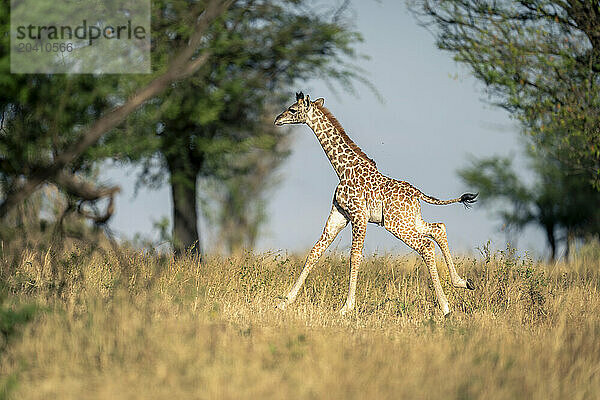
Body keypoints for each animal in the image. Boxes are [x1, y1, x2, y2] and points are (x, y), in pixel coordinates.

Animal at [274, 91, 476, 316]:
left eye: (292, 109)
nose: (277, 119)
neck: (342, 168)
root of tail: (416, 193)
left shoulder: (358, 216)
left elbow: (355, 256)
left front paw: (346, 307)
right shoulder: (339, 215)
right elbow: (315, 252)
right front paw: (285, 302)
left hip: (397, 224)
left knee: (426, 245)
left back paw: (445, 306)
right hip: (410, 220)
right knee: (438, 228)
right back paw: (462, 282)